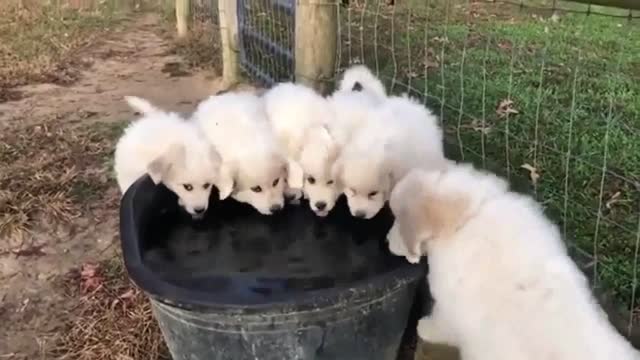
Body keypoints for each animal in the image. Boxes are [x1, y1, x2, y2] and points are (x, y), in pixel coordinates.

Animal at [384, 165, 640, 360]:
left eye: (396, 219)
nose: (386, 240)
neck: (468, 216)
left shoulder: (451, 307)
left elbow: (440, 323)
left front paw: (424, 327)